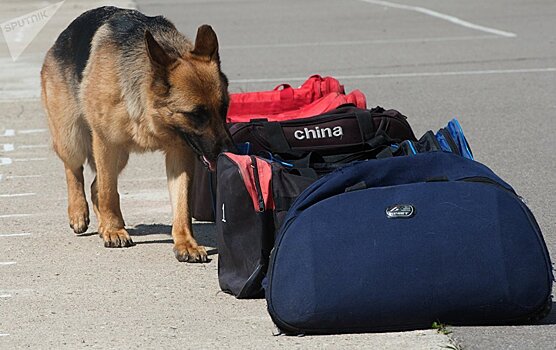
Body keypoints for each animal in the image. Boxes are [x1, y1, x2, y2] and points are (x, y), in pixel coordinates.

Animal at [40, 6, 232, 262]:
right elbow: (109, 192)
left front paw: (185, 243)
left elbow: (182, 205)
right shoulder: (105, 143)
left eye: (224, 108)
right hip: (73, 139)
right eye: (196, 114)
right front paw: (113, 230)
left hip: (120, 156)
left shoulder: (179, 153)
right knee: (75, 171)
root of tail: (62, 37)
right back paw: (79, 213)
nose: (229, 151)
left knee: (96, 185)